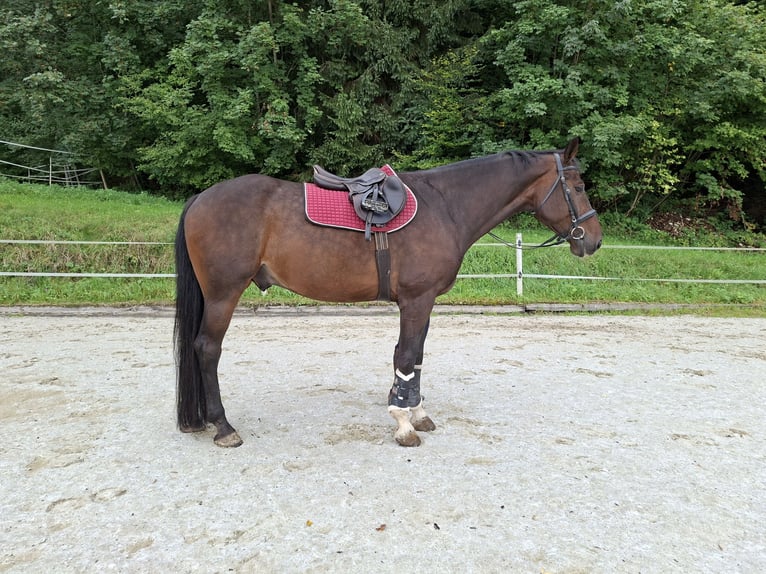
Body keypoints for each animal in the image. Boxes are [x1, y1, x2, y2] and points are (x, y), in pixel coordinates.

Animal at [174, 137, 602, 448]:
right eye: (579, 186)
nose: (594, 240)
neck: (446, 207)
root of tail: (200, 198)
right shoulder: (415, 300)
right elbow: (407, 355)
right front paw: (403, 423)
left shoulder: (425, 302)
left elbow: (415, 358)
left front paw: (417, 412)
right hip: (223, 295)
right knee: (207, 349)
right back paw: (223, 426)